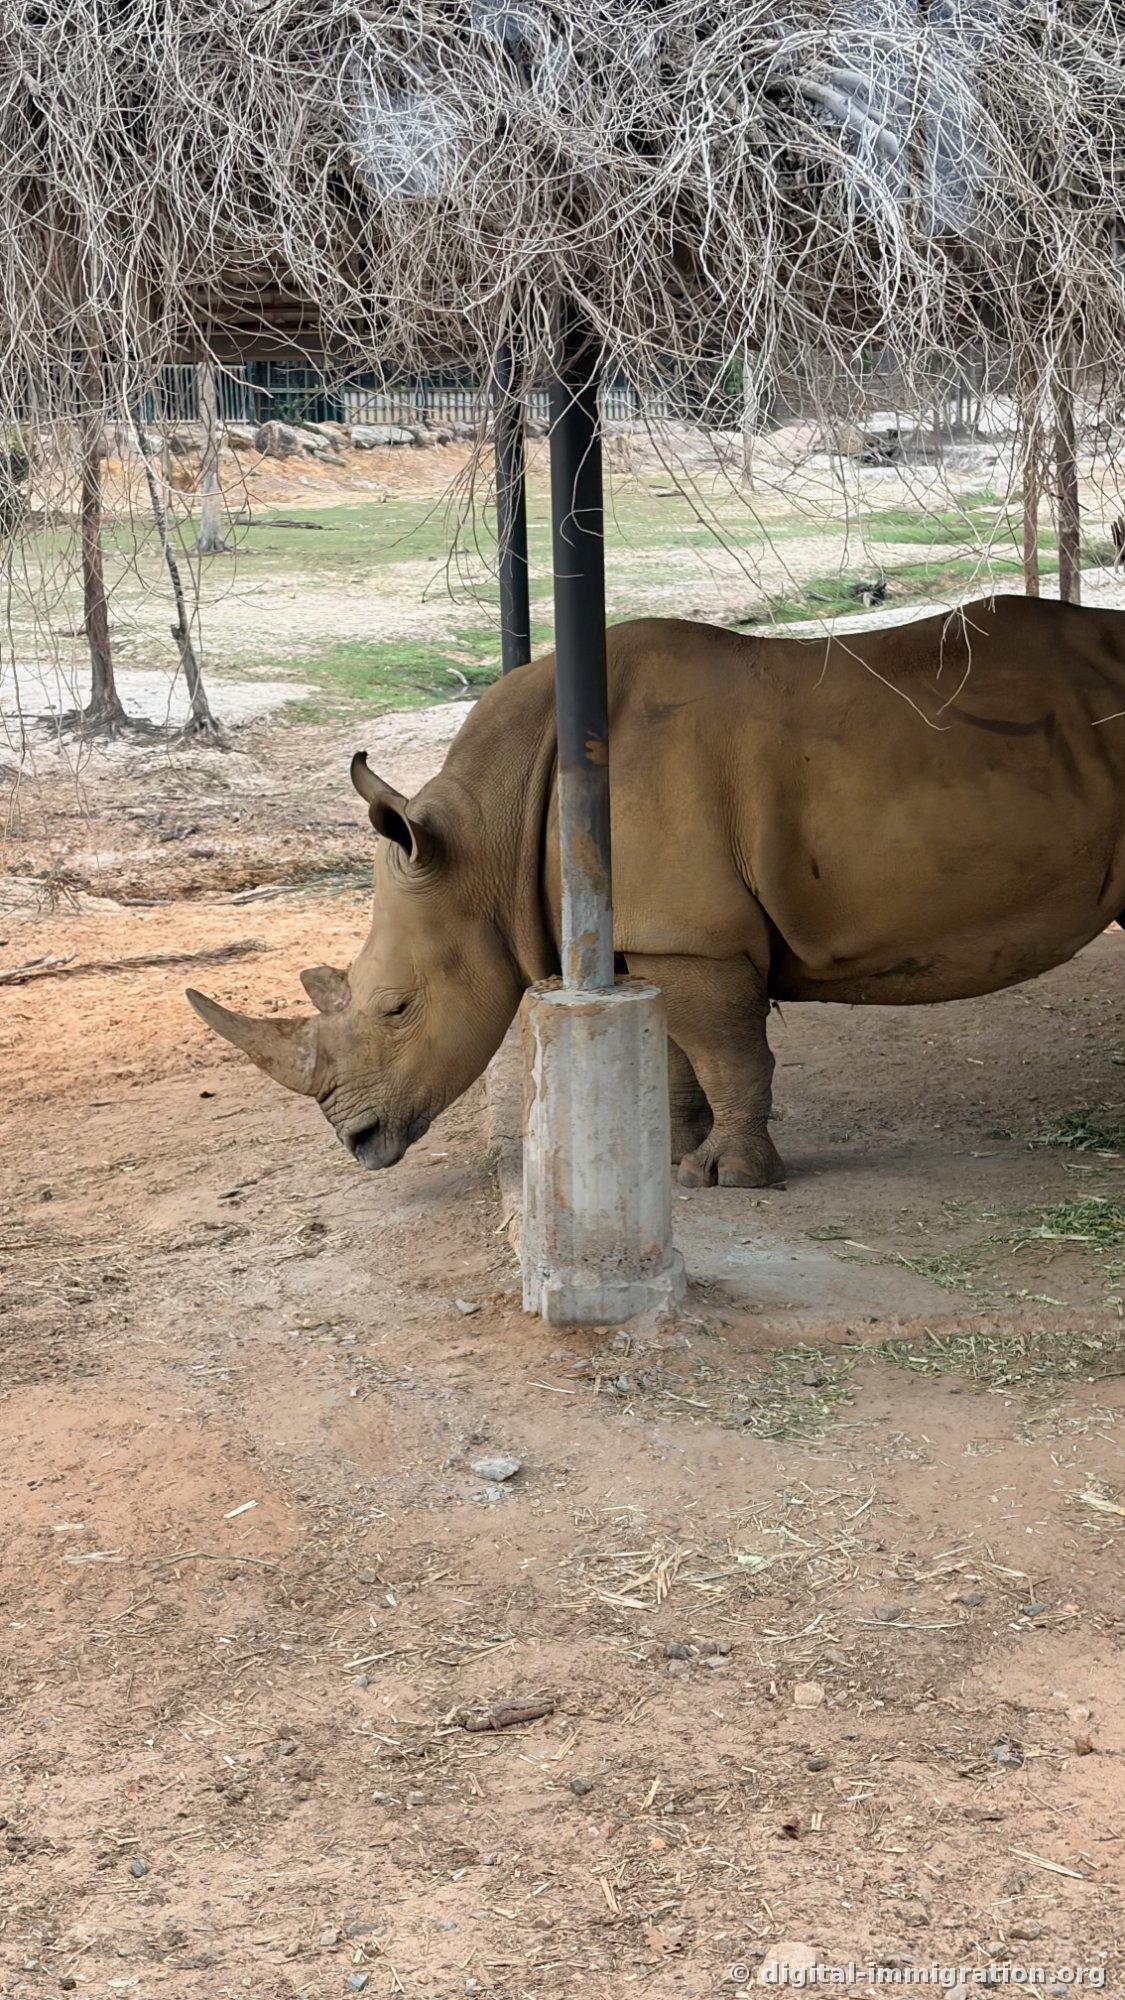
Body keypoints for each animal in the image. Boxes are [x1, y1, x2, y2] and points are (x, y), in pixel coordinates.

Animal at [189, 596, 1125, 1186]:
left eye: (397, 1008)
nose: (357, 1142)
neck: (490, 833)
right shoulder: (655, 933)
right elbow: (680, 1051)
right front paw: (669, 1150)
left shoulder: (693, 934)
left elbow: (728, 1054)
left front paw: (731, 1177)